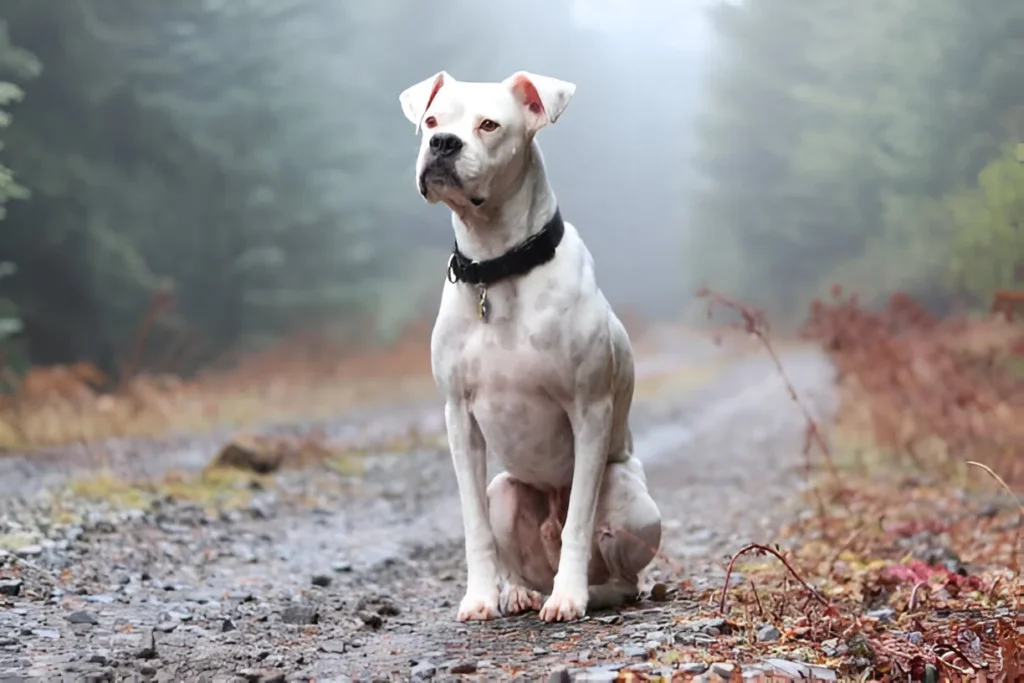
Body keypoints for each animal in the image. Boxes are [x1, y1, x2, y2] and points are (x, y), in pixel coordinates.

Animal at [395, 72, 659, 622]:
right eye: (431, 120)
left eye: (489, 125)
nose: (442, 144)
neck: (498, 267)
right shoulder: (459, 418)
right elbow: (473, 523)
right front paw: (479, 597)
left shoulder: (589, 411)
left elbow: (579, 519)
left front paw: (569, 597)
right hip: (506, 491)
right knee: (518, 551)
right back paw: (519, 591)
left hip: (630, 497)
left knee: (620, 572)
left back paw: (590, 591)